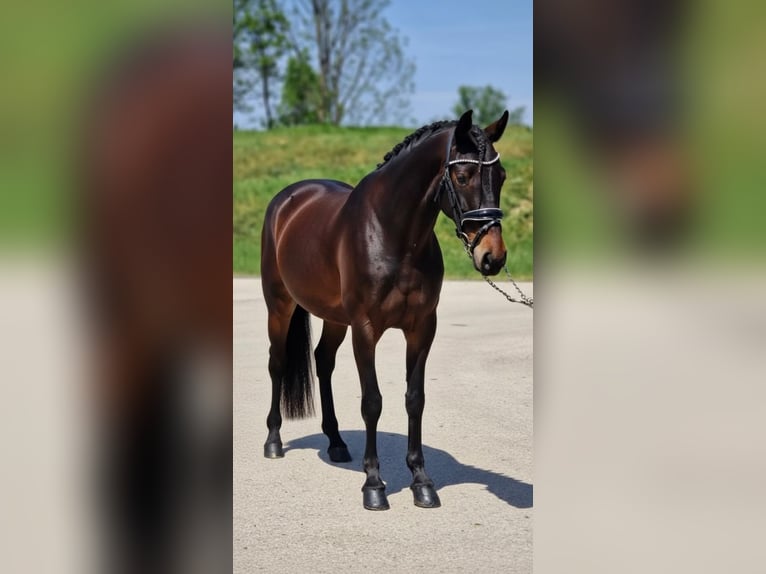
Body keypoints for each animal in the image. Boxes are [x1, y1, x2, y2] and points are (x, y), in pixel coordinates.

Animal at [260, 109, 510, 510]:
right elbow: (372, 402)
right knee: (278, 363)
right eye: (462, 176)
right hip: (279, 305)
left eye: (500, 176)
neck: (393, 236)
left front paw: (422, 482)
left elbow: (414, 399)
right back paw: (273, 441)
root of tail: (289, 198)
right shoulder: (365, 329)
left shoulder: (422, 329)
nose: (493, 257)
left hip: (334, 318)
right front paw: (374, 485)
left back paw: (336, 442)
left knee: (323, 361)